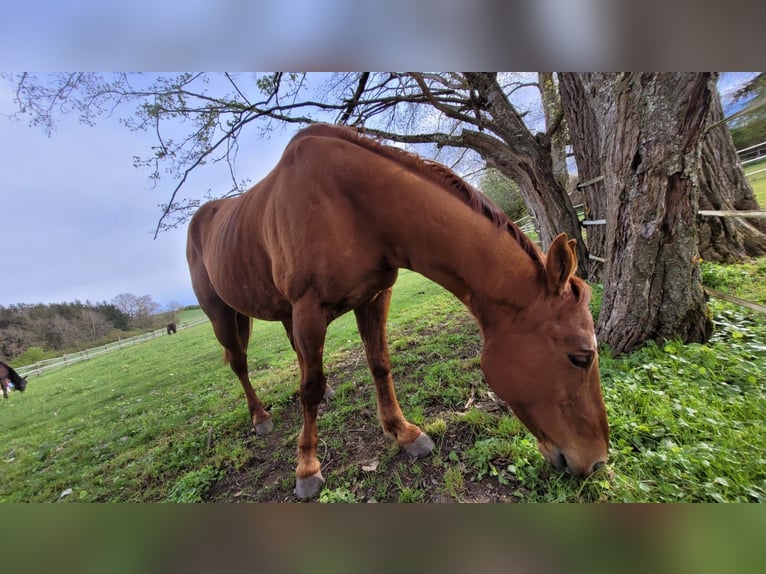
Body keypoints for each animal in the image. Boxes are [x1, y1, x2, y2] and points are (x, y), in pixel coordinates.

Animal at [188, 122, 612, 500]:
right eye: (581, 357)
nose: (597, 462)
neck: (350, 203)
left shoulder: (374, 297)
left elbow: (379, 365)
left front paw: (404, 433)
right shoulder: (310, 309)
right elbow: (309, 388)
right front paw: (306, 469)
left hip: (285, 312)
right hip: (223, 316)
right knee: (241, 364)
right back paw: (260, 417)